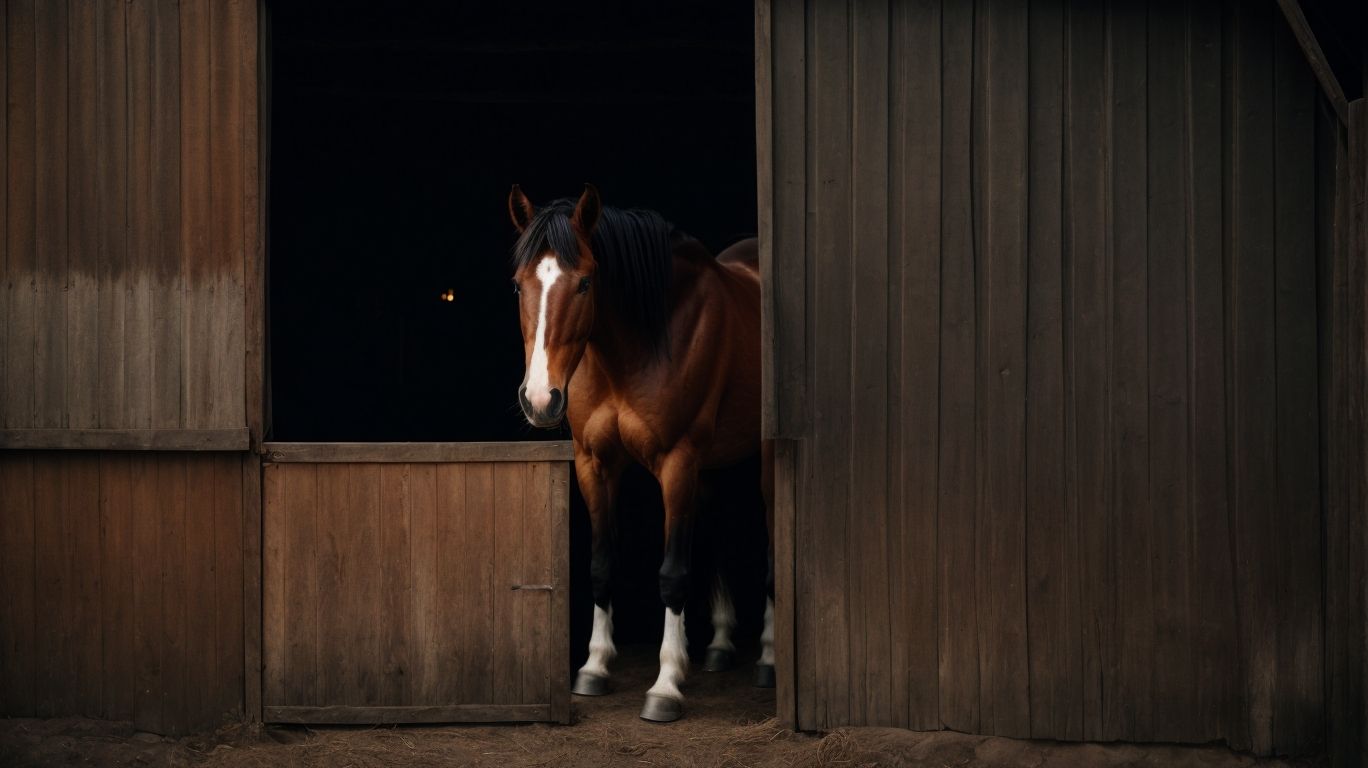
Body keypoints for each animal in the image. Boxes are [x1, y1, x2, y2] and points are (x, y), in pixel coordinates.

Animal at [506, 184, 774, 723]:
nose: (540, 399)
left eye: (585, 284)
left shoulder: (677, 462)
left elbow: (672, 574)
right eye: (519, 286)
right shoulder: (593, 463)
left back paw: (769, 658)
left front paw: (666, 685)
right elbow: (600, 565)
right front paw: (594, 666)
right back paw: (719, 646)